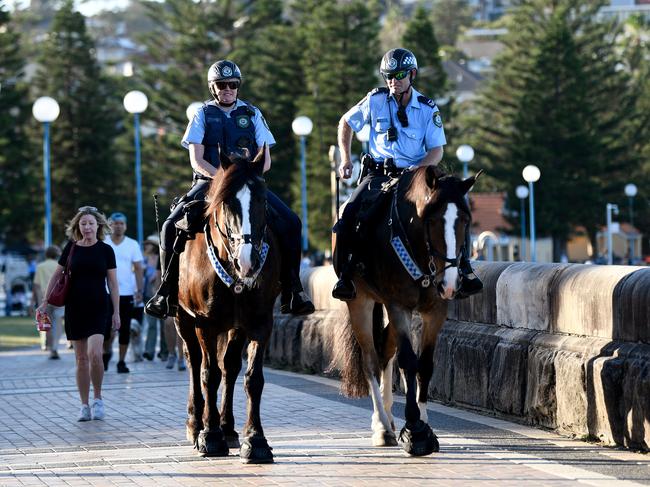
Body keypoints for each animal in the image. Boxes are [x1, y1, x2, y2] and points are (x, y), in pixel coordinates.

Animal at [173, 148, 280, 466]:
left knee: (230, 367)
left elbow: (252, 378)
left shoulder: (259, 322)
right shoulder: (205, 323)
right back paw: (196, 425)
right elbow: (209, 375)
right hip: (183, 320)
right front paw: (210, 437)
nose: (248, 260)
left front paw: (255, 441)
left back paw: (229, 428)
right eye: (226, 201)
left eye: (262, 199)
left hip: (234, 326)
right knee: (195, 363)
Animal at [332, 167, 478, 458]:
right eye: (431, 220)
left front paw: (426, 426)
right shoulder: (398, 306)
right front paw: (415, 430)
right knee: (371, 360)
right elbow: (409, 361)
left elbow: (425, 365)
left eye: (465, 221)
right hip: (360, 302)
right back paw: (381, 426)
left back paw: (388, 416)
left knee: (385, 352)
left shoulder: (436, 311)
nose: (450, 284)